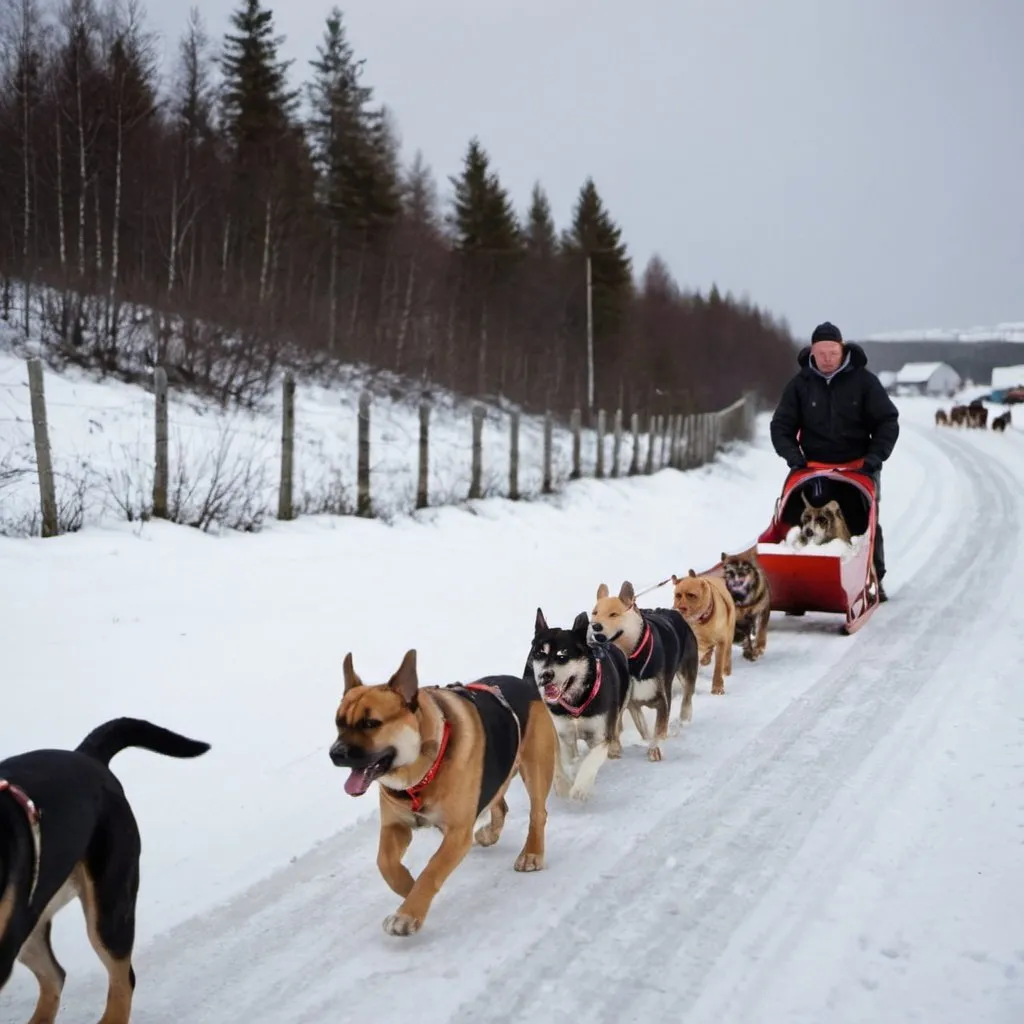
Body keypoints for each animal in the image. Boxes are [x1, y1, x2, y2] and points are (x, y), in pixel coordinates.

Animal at [331, 651, 565, 937]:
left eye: (370, 723)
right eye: (338, 722)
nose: (335, 753)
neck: (419, 774)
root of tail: (526, 684)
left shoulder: (457, 833)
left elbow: (432, 870)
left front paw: (408, 913)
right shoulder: (395, 825)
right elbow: (384, 863)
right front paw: (407, 887)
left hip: (535, 766)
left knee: (538, 814)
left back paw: (531, 853)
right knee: (500, 804)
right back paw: (491, 833)